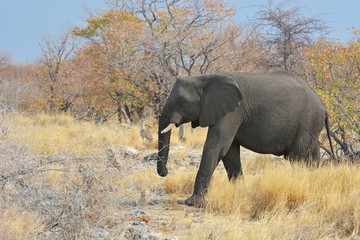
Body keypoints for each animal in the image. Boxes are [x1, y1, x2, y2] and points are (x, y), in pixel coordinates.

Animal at [156, 71, 336, 206]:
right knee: (312, 156)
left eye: (182, 101)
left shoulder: (231, 112)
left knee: (299, 157)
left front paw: (193, 203)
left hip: (306, 122)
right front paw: (241, 192)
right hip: (310, 126)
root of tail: (323, 105)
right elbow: (229, 152)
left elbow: (216, 146)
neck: (205, 78)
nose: (166, 172)